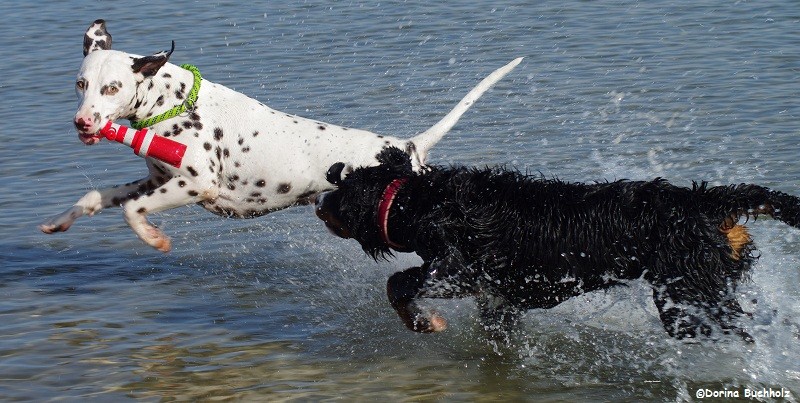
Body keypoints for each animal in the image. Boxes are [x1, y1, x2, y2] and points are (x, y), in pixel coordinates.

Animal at [314, 147, 800, 342]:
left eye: (338, 194)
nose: (318, 201)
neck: (421, 202)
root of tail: (702, 200)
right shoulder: (498, 301)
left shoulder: (459, 269)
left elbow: (398, 284)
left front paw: (424, 322)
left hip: (689, 302)